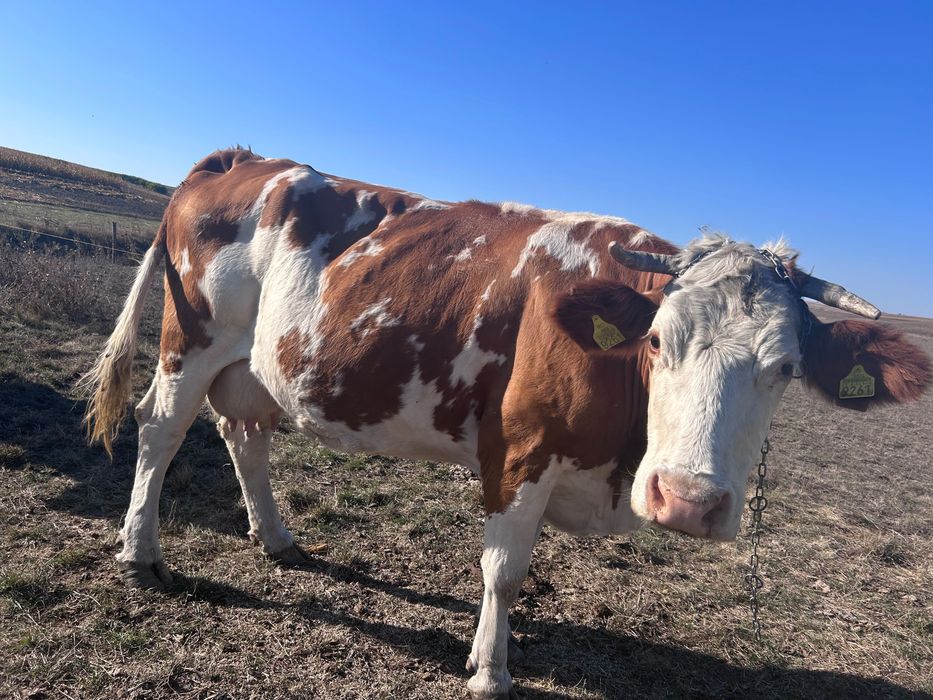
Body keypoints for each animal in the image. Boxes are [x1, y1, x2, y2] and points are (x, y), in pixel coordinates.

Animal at [82, 148, 929, 699]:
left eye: (784, 369)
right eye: (658, 341)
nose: (688, 502)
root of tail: (245, 158)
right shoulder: (519, 450)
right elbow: (504, 570)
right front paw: (490, 670)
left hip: (253, 367)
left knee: (243, 437)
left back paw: (277, 538)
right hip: (189, 344)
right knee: (160, 432)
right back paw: (141, 552)